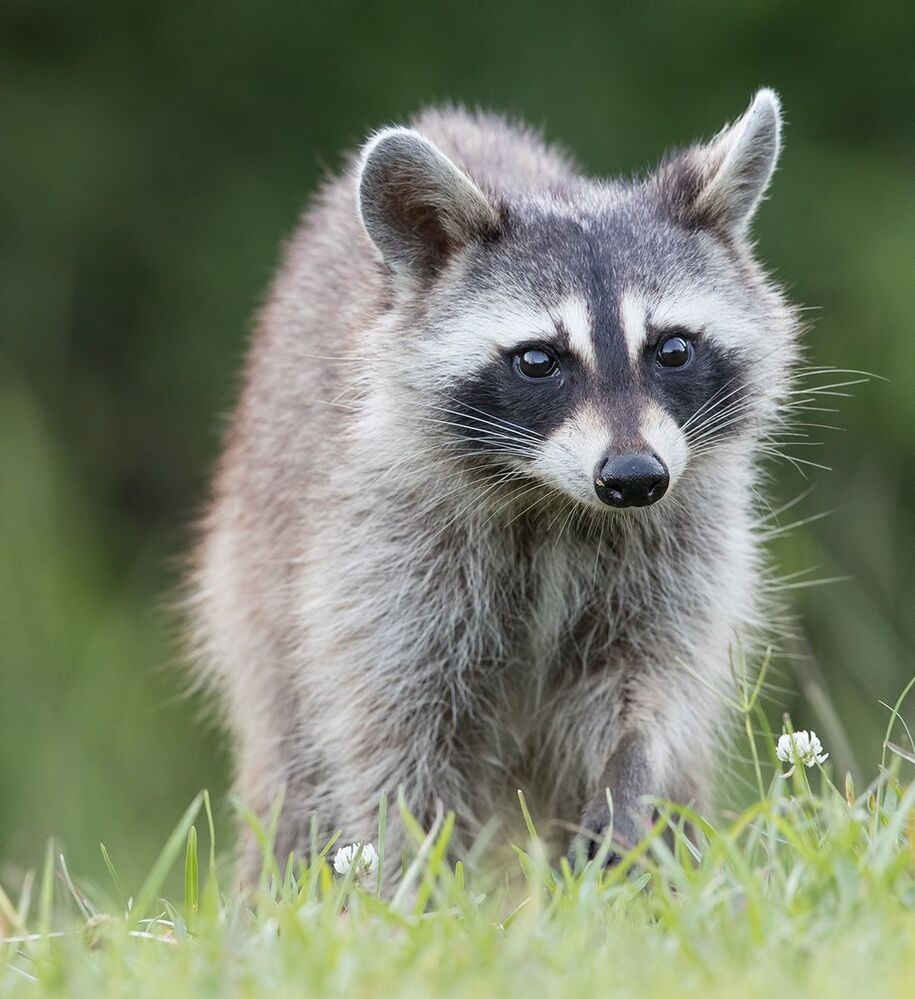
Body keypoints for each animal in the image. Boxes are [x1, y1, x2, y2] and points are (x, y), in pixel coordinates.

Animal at [190, 89, 799, 883]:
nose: (634, 478)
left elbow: (652, 684)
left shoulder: (681, 538)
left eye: (671, 349)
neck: (554, 498)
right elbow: (394, 735)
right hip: (258, 583)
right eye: (538, 361)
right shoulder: (380, 555)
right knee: (292, 768)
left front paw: (626, 780)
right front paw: (412, 885)